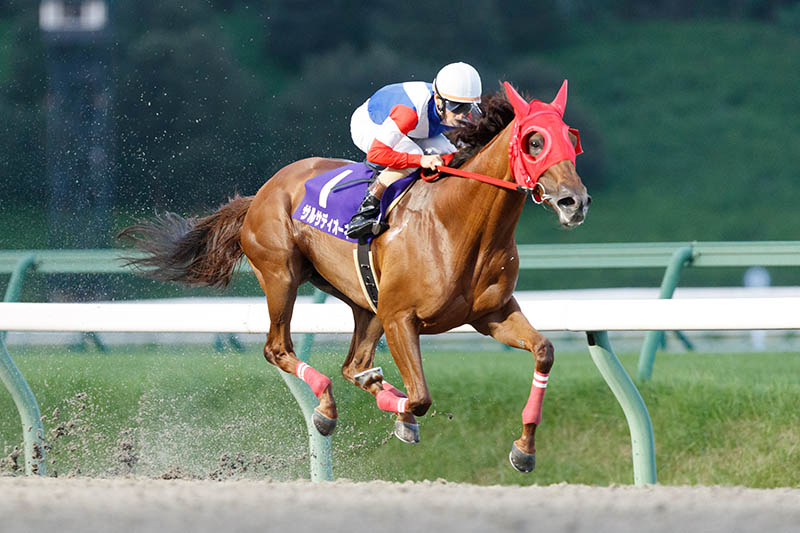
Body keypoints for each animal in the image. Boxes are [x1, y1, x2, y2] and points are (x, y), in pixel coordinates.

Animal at [119, 81, 590, 473]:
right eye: (534, 141)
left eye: (571, 139)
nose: (575, 202)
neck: (457, 223)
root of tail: (262, 192)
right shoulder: (401, 317)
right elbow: (421, 398)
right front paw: (402, 418)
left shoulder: (492, 314)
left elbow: (544, 351)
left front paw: (524, 449)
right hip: (282, 275)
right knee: (279, 349)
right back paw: (326, 409)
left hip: (364, 301)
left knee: (353, 365)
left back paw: (370, 382)